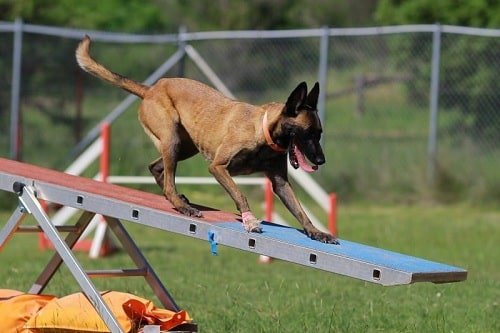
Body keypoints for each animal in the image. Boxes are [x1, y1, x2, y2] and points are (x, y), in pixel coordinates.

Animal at [76, 35, 338, 244]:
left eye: (320, 133)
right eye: (308, 133)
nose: (321, 160)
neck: (262, 130)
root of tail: (151, 88)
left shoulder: (280, 183)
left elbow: (300, 210)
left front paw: (316, 231)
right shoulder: (218, 167)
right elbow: (239, 194)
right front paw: (249, 220)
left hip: (184, 147)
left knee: (157, 168)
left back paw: (177, 198)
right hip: (171, 139)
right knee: (168, 179)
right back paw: (183, 206)